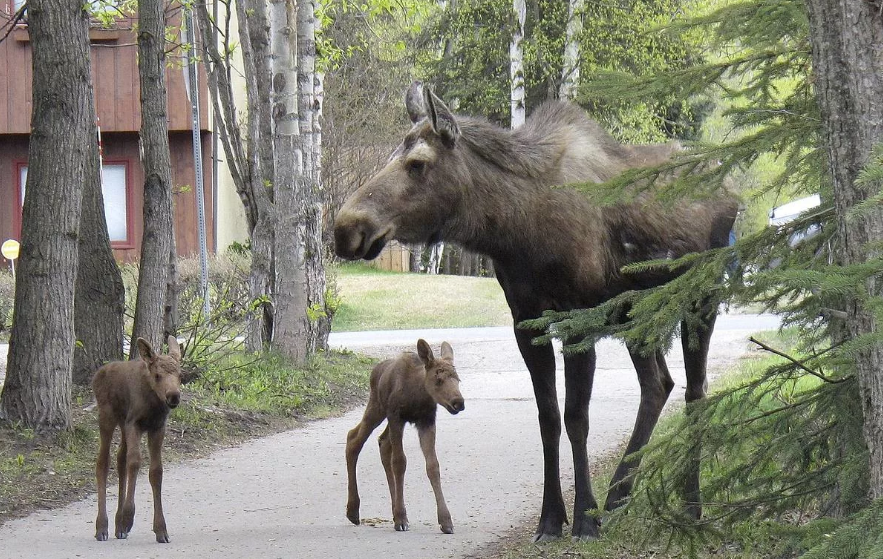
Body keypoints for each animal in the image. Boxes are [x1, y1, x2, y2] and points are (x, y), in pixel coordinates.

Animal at [93, 334, 183, 544]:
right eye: (157, 375)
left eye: (180, 375)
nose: (173, 396)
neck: (153, 404)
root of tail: (97, 374)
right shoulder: (134, 423)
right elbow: (134, 462)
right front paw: (128, 517)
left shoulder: (157, 427)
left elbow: (156, 471)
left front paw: (160, 529)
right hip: (107, 418)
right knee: (103, 462)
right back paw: (102, 527)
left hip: (122, 424)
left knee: (120, 458)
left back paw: (118, 527)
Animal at [348, 340, 466, 536]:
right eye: (438, 379)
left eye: (458, 379)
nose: (459, 402)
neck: (417, 395)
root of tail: (375, 370)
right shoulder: (397, 416)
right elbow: (399, 462)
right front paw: (402, 519)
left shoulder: (426, 420)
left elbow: (433, 466)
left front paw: (445, 521)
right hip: (377, 407)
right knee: (353, 439)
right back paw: (353, 511)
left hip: (384, 416)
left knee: (382, 442)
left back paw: (392, 510)